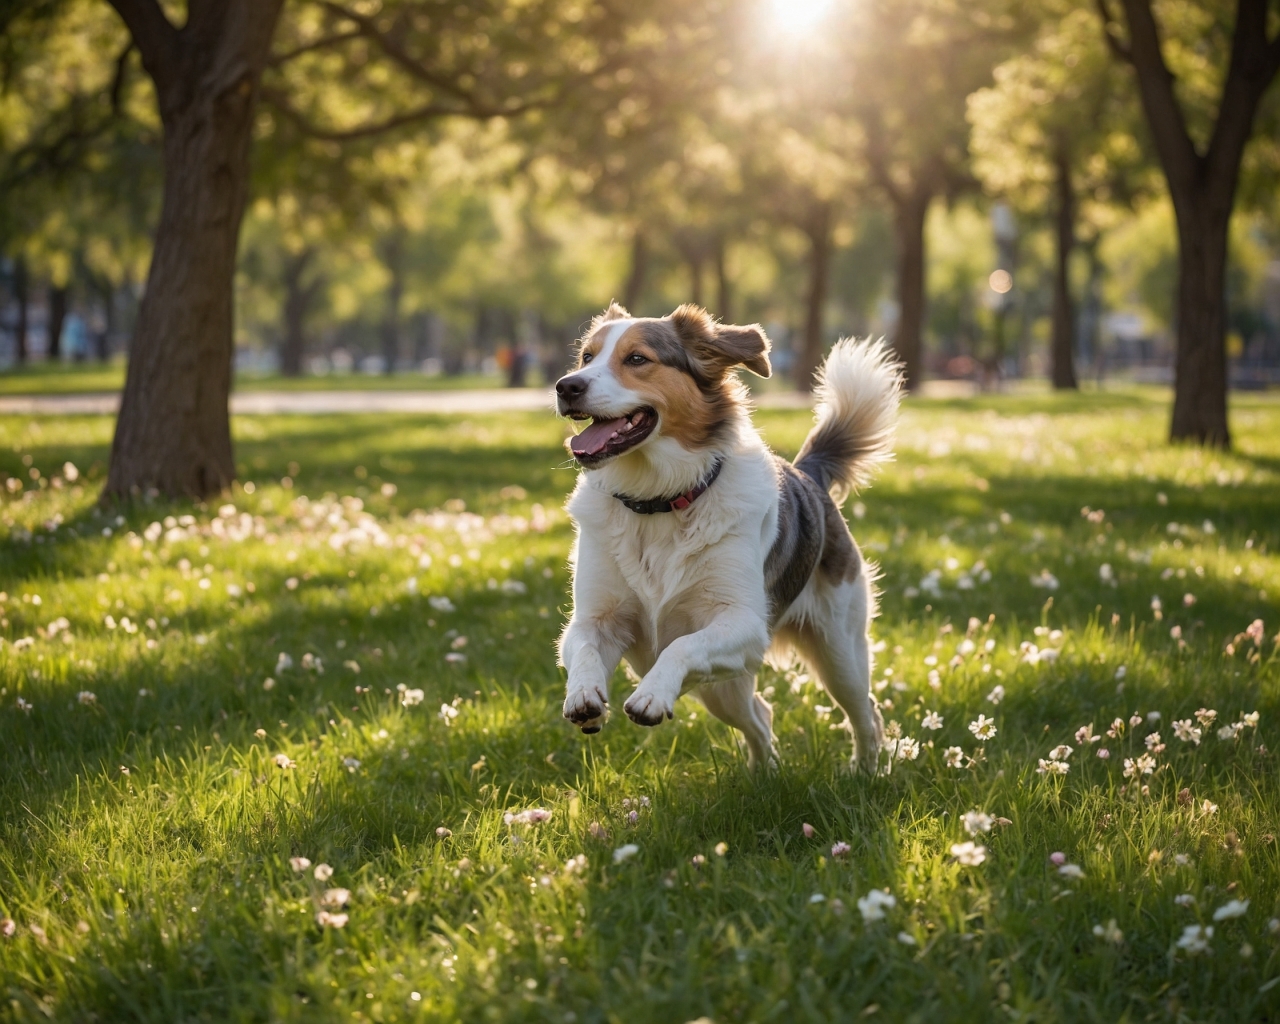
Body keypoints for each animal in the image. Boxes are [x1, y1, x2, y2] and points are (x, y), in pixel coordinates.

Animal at [552, 305, 901, 778]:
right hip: (723, 691)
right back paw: (764, 774)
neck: (658, 502)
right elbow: (585, 647)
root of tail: (808, 474)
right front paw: (583, 695)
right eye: (586, 357)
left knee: (865, 711)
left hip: (839, 652)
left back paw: (866, 771)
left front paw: (651, 694)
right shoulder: (596, 619)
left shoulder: (744, 625)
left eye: (637, 359)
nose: (566, 386)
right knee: (759, 714)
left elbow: (680, 646)